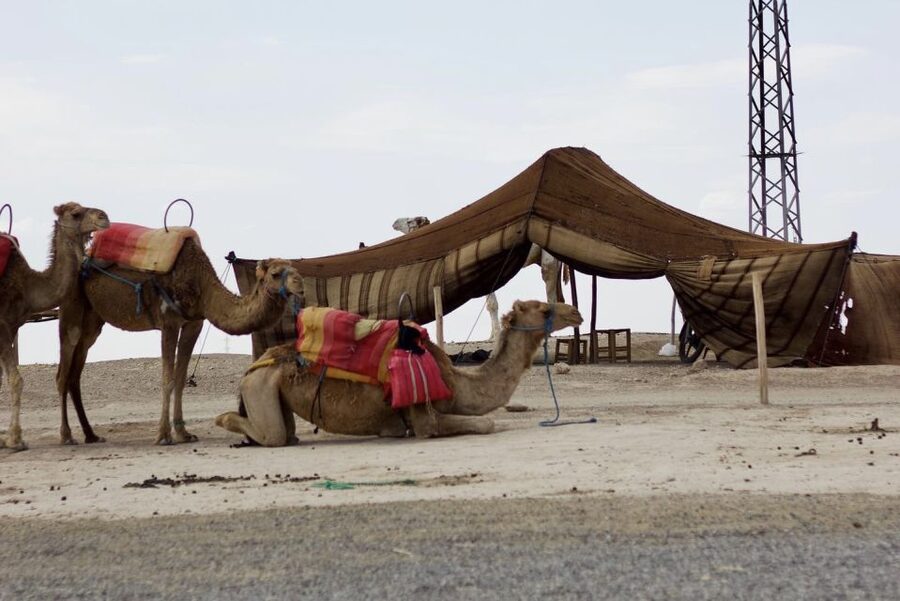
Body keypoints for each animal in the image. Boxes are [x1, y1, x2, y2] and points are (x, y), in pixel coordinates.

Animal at [1, 203, 110, 450]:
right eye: (76, 214)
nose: (104, 217)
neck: (29, 285)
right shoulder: (1, 326)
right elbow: (16, 380)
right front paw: (15, 440)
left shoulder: (12, 327)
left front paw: (6, 438)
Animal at [56, 238, 305, 445]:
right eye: (275, 273)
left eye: (293, 267)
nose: (300, 282)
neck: (202, 287)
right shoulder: (169, 322)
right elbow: (167, 378)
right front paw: (164, 435)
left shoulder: (193, 323)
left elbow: (180, 378)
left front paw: (183, 433)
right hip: (71, 309)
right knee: (63, 374)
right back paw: (67, 436)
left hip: (93, 320)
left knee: (75, 375)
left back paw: (90, 434)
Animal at [215, 300, 582, 445]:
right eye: (543, 309)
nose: (575, 312)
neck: (456, 380)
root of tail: (254, 367)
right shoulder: (424, 418)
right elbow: (485, 423)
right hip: (261, 387)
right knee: (273, 434)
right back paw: (224, 421)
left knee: (286, 433)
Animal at [391, 216, 567, 342]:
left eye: (410, 221)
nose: (394, 223)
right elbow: (489, 305)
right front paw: (490, 336)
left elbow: (492, 304)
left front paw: (496, 335)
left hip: (549, 257)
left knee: (549, 281)